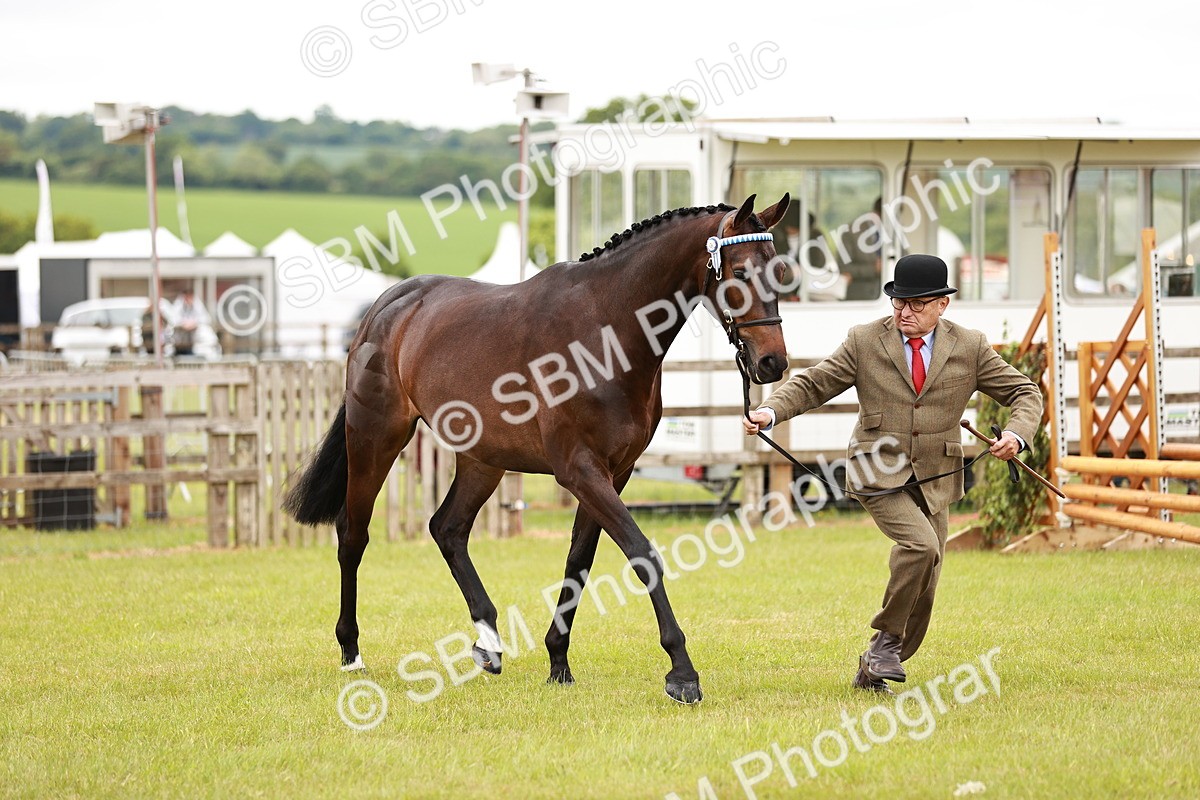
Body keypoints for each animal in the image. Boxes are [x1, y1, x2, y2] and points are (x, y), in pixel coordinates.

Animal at [283, 193, 791, 704]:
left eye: (781, 270)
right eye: (740, 271)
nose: (772, 363)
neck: (606, 330)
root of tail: (387, 306)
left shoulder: (614, 472)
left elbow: (579, 560)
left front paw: (558, 661)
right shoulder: (580, 470)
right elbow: (641, 552)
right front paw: (682, 672)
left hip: (481, 460)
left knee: (447, 529)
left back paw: (488, 643)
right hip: (376, 437)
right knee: (353, 533)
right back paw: (351, 652)